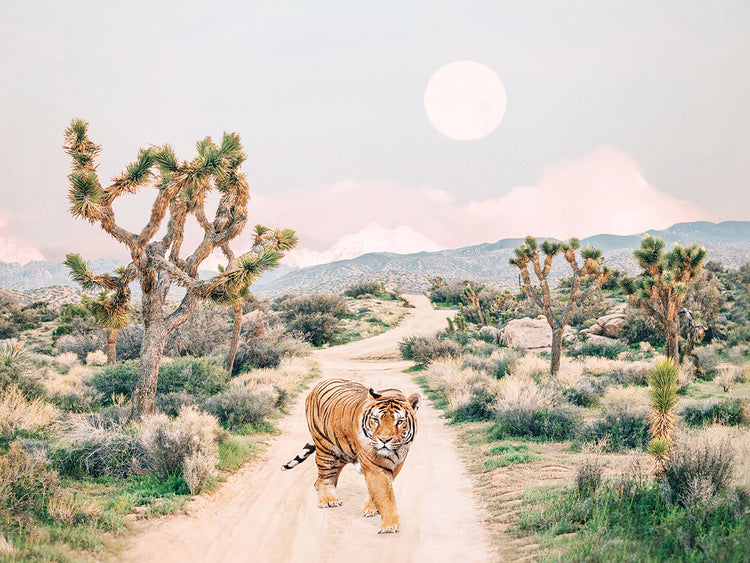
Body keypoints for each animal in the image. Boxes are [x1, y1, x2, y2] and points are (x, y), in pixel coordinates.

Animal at [281, 378, 420, 534]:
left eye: (400, 422)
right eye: (376, 420)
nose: (384, 440)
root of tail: (319, 384)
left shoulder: (397, 464)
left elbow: (381, 490)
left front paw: (372, 508)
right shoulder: (374, 466)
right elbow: (384, 493)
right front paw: (389, 525)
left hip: (342, 451)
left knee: (328, 475)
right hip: (326, 447)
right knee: (325, 475)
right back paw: (328, 499)